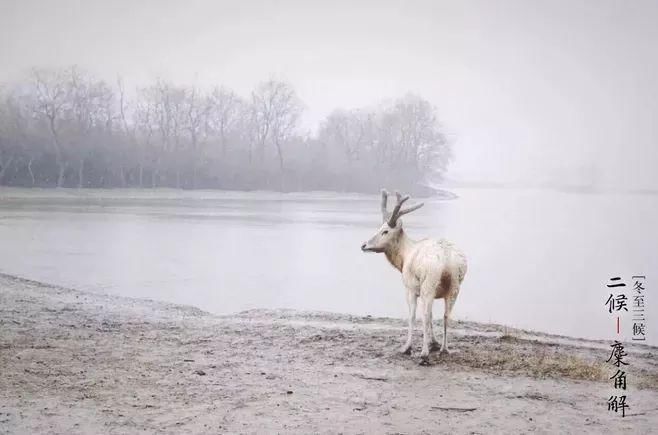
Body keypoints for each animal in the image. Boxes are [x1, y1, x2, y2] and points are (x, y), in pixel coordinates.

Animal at [358, 191, 466, 364]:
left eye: (385, 231)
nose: (364, 245)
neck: (403, 258)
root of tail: (447, 260)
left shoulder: (410, 288)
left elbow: (412, 316)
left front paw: (407, 348)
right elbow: (432, 315)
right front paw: (434, 344)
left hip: (429, 282)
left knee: (425, 315)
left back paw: (424, 354)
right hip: (455, 285)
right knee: (446, 315)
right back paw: (444, 349)